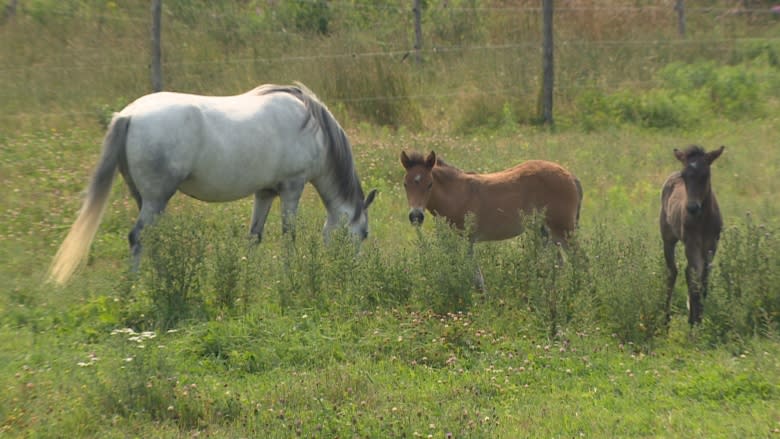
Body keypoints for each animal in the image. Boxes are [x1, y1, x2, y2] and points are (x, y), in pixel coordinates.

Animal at [48, 83, 378, 286]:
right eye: (363, 234)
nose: (352, 272)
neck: (312, 127)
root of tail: (129, 115)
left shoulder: (265, 192)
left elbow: (254, 237)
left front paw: (249, 276)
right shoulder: (292, 188)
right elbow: (289, 236)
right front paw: (289, 274)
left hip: (145, 198)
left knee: (151, 237)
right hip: (156, 198)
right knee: (137, 237)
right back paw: (137, 284)